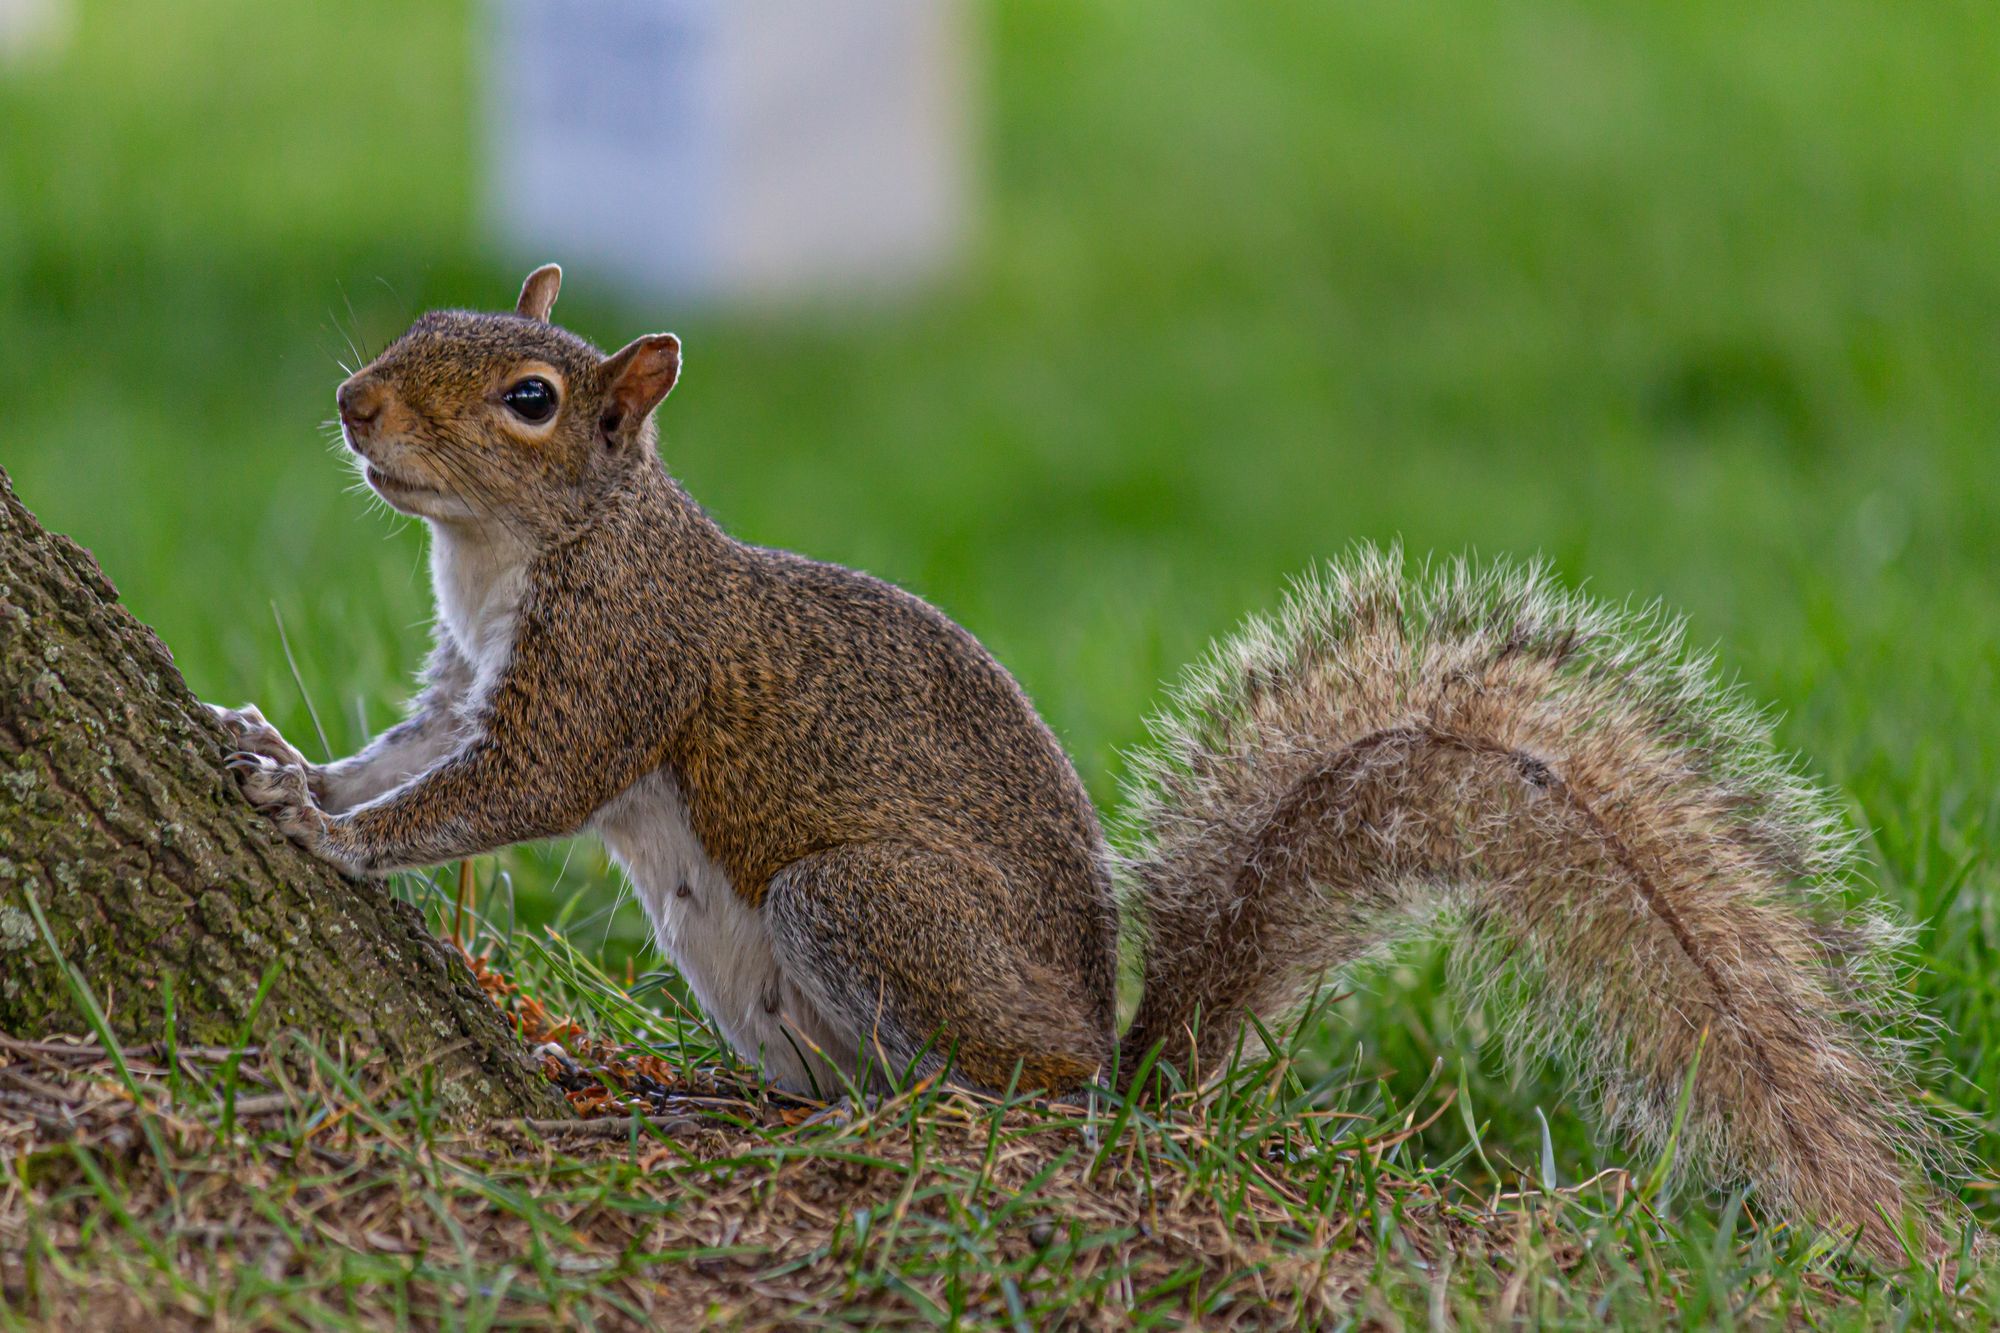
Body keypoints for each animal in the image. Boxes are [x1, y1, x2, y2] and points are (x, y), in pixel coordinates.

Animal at [211, 264, 1960, 1264]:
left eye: (529, 398)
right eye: (421, 326)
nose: (356, 405)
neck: (518, 553)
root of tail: (1118, 1074)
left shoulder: (614, 672)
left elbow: (500, 795)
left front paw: (330, 838)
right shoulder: (464, 678)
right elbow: (410, 750)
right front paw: (280, 757)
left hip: (862, 909)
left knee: (994, 1097)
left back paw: (928, 1114)